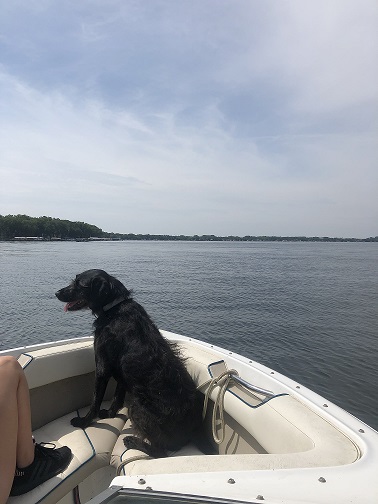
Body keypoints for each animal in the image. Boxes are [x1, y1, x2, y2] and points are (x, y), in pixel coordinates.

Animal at [54, 272, 202, 456]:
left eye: (80, 283)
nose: (57, 293)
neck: (113, 309)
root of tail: (190, 432)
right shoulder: (122, 375)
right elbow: (117, 396)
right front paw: (110, 413)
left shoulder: (102, 368)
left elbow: (95, 400)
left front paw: (84, 422)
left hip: (136, 406)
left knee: (159, 451)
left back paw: (132, 441)